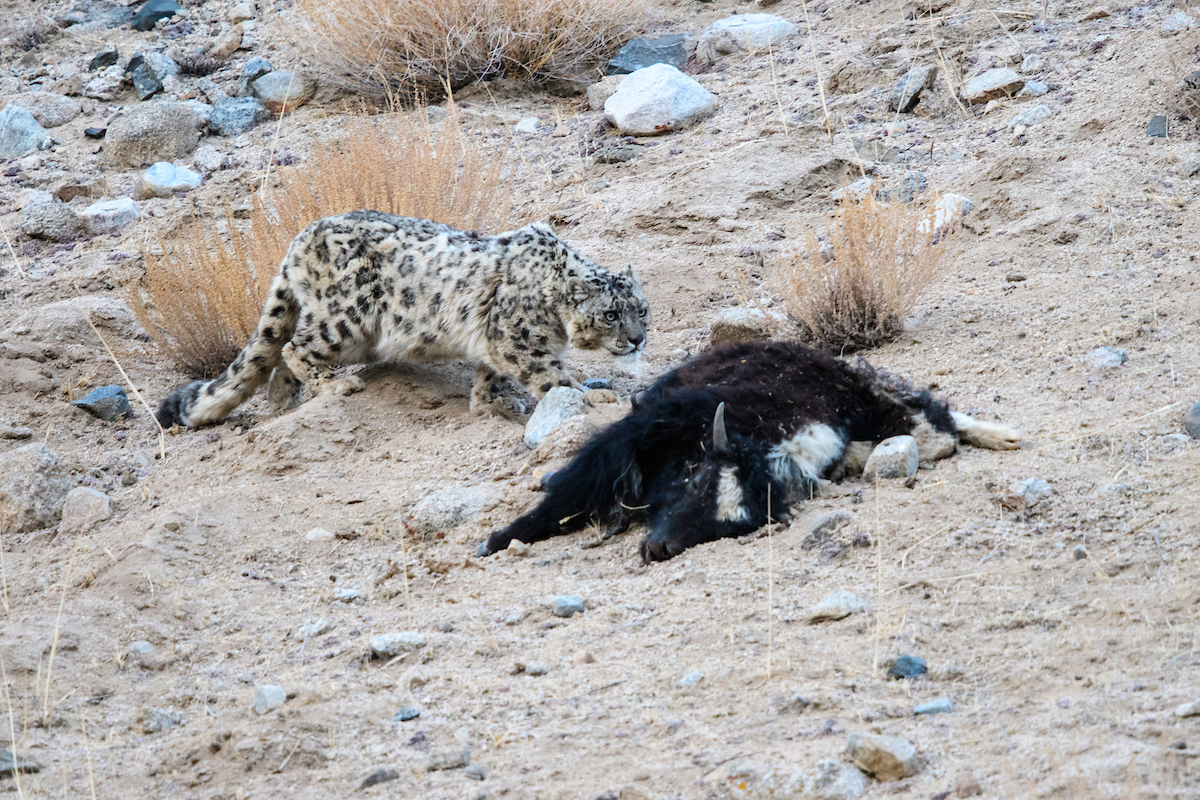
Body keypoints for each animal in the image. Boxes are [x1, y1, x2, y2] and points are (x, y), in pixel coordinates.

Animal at [155, 210, 650, 428]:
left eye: (642, 309)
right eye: (611, 314)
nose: (638, 340)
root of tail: (299, 239)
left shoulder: (495, 343)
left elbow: (489, 375)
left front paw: (492, 403)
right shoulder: (517, 339)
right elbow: (552, 376)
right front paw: (594, 397)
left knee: (277, 356)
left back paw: (284, 400)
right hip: (348, 319)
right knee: (296, 346)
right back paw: (334, 386)